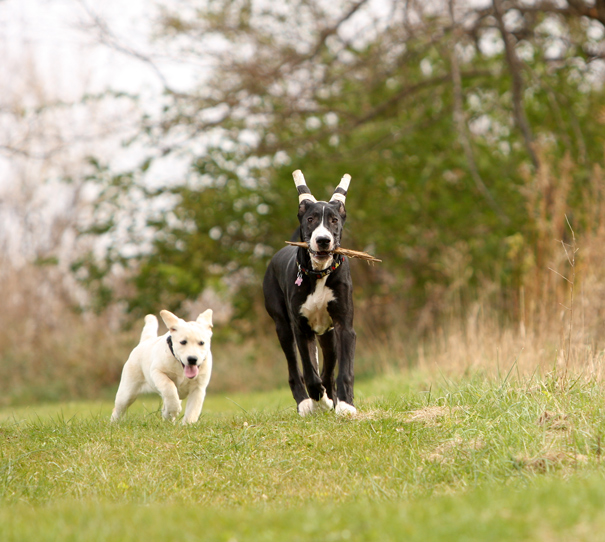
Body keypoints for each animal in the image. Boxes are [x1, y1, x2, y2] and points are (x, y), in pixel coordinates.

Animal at [262, 170, 356, 416]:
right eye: (311, 219)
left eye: (334, 220)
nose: (323, 240)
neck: (318, 274)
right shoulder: (301, 329)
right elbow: (310, 374)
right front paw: (319, 400)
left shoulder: (343, 326)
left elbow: (343, 370)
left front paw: (345, 404)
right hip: (283, 328)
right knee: (295, 370)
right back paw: (306, 402)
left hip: (327, 335)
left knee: (327, 369)